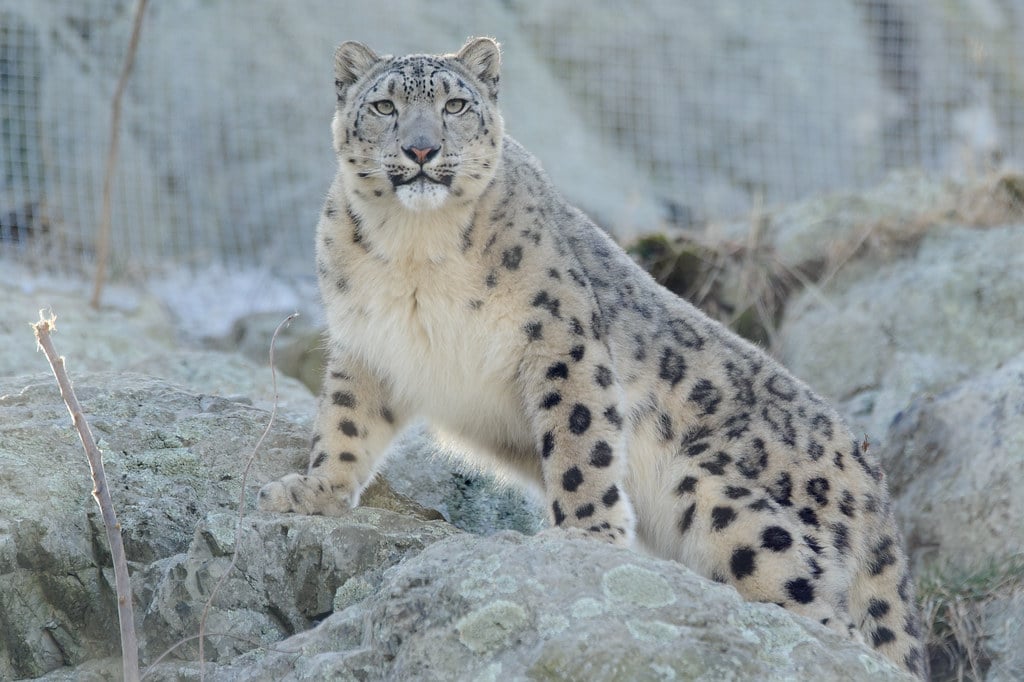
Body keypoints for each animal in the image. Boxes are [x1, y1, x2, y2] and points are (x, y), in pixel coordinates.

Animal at [258, 37, 927, 678]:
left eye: (455, 105)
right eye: (384, 106)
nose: (422, 150)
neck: (415, 250)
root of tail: (874, 480)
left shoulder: (559, 336)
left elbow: (579, 437)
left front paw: (585, 532)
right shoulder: (366, 345)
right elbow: (345, 421)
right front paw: (314, 490)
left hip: (726, 499)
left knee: (831, 618)